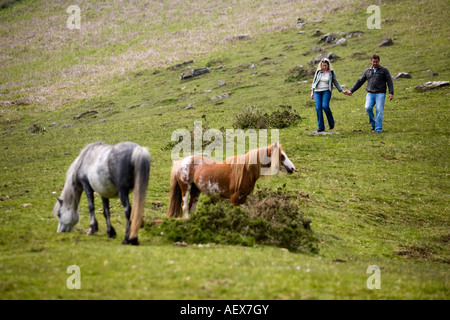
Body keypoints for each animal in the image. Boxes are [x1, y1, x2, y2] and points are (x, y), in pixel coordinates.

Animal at [167, 144, 298, 219]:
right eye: (282, 155)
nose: (292, 168)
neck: (246, 170)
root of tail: (181, 162)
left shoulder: (244, 197)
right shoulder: (234, 197)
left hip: (195, 191)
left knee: (191, 207)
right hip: (186, 188)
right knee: (184, 207)